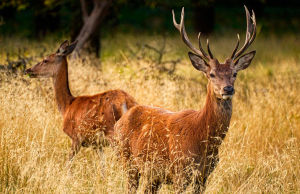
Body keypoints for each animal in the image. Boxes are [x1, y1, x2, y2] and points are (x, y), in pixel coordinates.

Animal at [116, 6, 256, 194]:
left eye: (235, 73)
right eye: (211, 74)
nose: (228, 89)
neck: (203, 139)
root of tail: (121, 119)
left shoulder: (204, 175)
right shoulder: (179, 171)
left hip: (152, 174)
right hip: (128, 160)